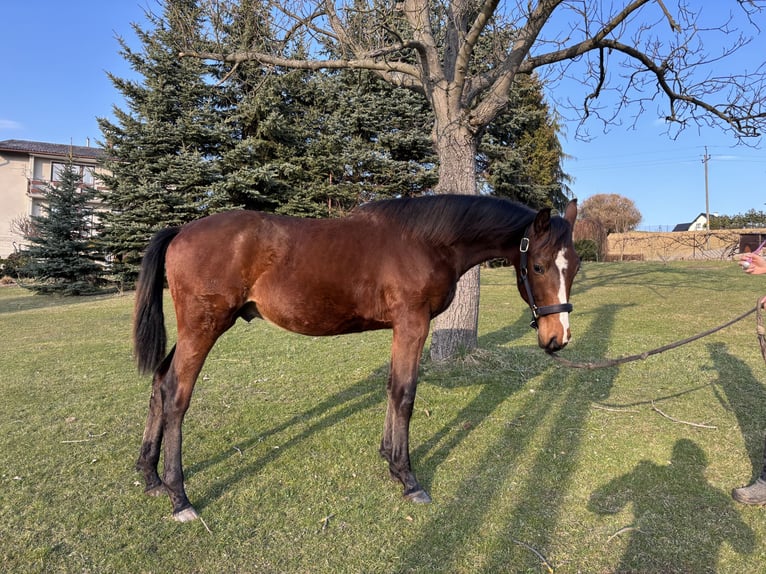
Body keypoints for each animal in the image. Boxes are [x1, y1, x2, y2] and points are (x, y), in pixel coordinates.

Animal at [133, 194, 579, 522]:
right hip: (203, 329)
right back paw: (179, 496)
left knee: (159, 383)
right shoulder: (412, 324)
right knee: (176, 396)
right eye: (538, 266)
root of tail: (181, 231)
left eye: (573, 266)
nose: (557, 338)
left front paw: (389, 459)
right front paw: (408, 478)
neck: (425, 241)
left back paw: (151, 476)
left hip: (195, 331)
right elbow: (405, 395)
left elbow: (392, 389)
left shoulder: (401, 329)